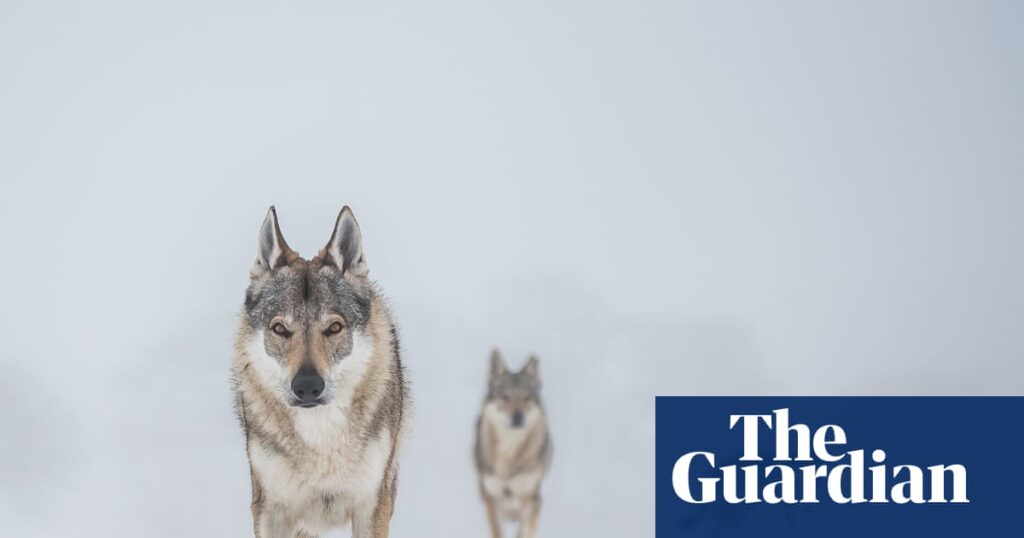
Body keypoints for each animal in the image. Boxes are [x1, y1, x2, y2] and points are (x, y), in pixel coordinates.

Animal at [232, 206, 409, 538]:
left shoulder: (373, 504)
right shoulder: (269, 509)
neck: (320, 437)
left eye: (334, 327)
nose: (308, 386)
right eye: (280, 329)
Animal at [474, 349, 553, 538]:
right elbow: (497, 531)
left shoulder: (530, 498)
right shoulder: (491, 497)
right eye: (505, 397)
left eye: (526, 397)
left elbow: (524, 530)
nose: (518, 417)